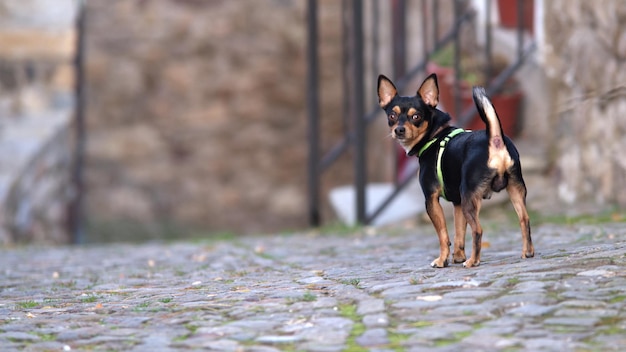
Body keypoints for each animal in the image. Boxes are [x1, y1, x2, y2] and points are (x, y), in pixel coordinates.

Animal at [376, 74, 532, 266]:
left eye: (416, 116)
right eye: (392, 115)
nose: (399, 130)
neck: (435, 135)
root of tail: (495, 140)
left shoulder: (431, 199)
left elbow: (443, 235)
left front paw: (442, 260)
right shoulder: (457, 202)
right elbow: (459, 232)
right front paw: (457, 257)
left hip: (470, 198)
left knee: (478, 230)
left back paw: (473, 261)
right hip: (514, 190)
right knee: (524, 220)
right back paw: (527, 253)